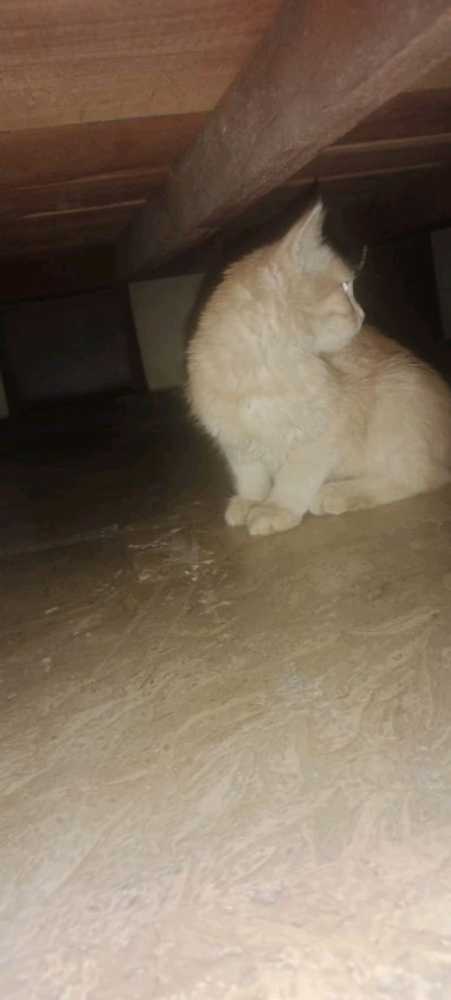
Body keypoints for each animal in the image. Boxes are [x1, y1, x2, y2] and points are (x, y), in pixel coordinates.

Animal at [186, 199, 451, 536]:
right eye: (344, 288)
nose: (363, 314)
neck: (265, 370)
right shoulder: (234, 439)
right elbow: (250, 476)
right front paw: (250, 500)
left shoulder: (322, 433)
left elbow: (296, 477)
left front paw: (276, 507)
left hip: (399, 394)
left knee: (420, 475)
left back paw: (338, 492)